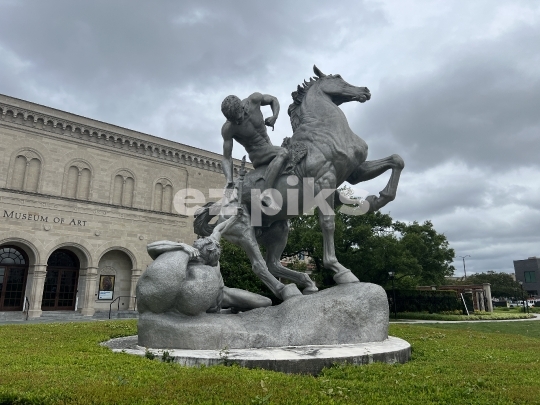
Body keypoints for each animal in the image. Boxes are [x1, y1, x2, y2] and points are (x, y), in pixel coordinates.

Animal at [195, 66, 404, 300]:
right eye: (338, 77)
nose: (365, 91)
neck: (324, 129)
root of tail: (219, 206)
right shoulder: (325, 180)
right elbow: (328, 223)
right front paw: (341, 271)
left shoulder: (355, 171)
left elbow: (396, 161)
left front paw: (377, 200)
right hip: (242, 231)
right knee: (259, 266)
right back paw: (287, 289)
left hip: (278, 230)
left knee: (274, 263)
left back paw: (306, 284)